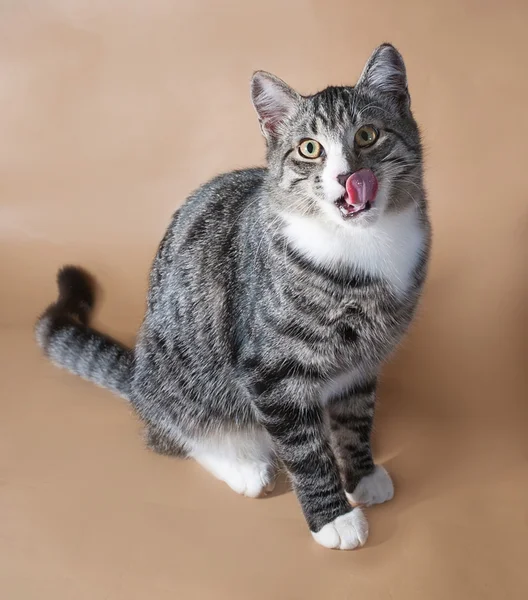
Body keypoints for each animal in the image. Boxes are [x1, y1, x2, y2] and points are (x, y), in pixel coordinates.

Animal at [35, 43, 428, 548]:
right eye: (310, 148)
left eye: (367, 135)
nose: (347, 176)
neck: (360, 250)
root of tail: (137, 376)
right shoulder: (271, 372)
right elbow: (306, 452)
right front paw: (333, 517)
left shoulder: (362, 362)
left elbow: (355, 420)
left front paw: (361, 474)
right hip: (180, 380)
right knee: (173, 433)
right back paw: (242, 466)